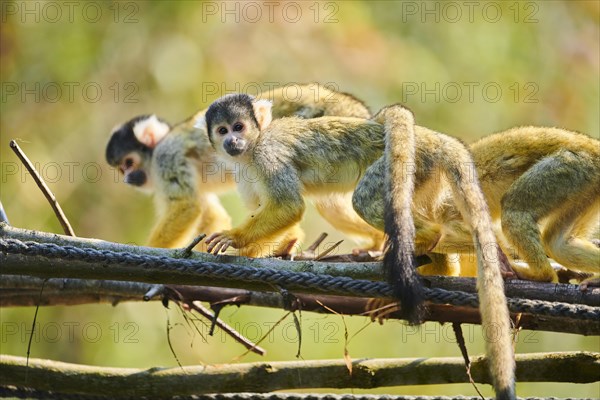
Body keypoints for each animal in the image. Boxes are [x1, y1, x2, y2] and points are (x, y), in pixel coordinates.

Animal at [105, 84, 382, 253]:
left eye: (128, 163)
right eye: (120, 169)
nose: (128, 178)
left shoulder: (167, 157)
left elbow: (186, 207)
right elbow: (209, 214)